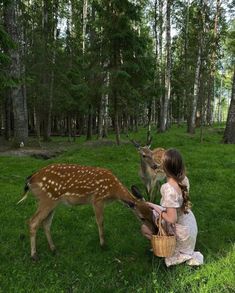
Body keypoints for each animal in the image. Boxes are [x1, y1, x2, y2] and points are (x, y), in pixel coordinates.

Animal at [17, 163, 155, 258]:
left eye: (152, 213)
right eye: (141, 217)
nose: (155, 229)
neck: (113, 190)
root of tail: (30, 180)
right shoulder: (97, 199)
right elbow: (100, 221)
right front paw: (103, 244)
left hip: (53, 202)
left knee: (45, 223)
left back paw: (53, 249)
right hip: (47, 199)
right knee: (33, 221)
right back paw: (34, 255)